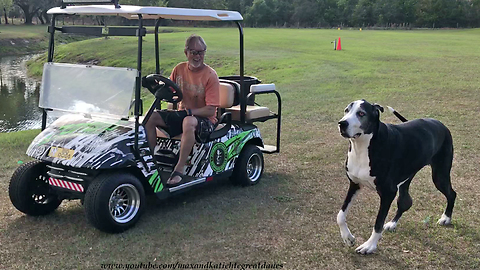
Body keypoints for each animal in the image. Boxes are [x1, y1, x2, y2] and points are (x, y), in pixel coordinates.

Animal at [336, 99, 456, 253]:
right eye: (346, 110)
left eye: (361, 113)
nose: (342, 123)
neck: (364, 146)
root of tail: (440, 124)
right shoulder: (354, 184)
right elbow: (340, 215)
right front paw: (348, 238)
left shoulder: (388, 193)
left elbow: (378, 222)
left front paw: (370, 245)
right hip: (407, 179)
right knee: (405, 202)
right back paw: (393, 223)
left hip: (440, 175)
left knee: (452, 194)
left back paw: (446, 218)